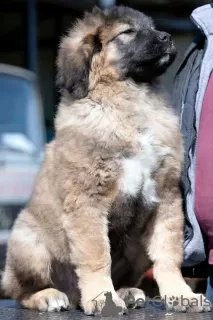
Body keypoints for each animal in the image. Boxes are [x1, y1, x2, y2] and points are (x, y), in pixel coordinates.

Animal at [1, 5, 211, 316]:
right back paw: (49, 296)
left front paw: (181, 295)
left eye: (152, 27)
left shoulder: (166, 195)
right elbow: (97, 256)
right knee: (19, 290)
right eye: (127, 32)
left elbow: (167, 254)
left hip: (137, 246)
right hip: (29, 243)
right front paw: (102, 298)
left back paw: (127, 292)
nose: (168, 37)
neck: (129, 101)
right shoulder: (87, 200)